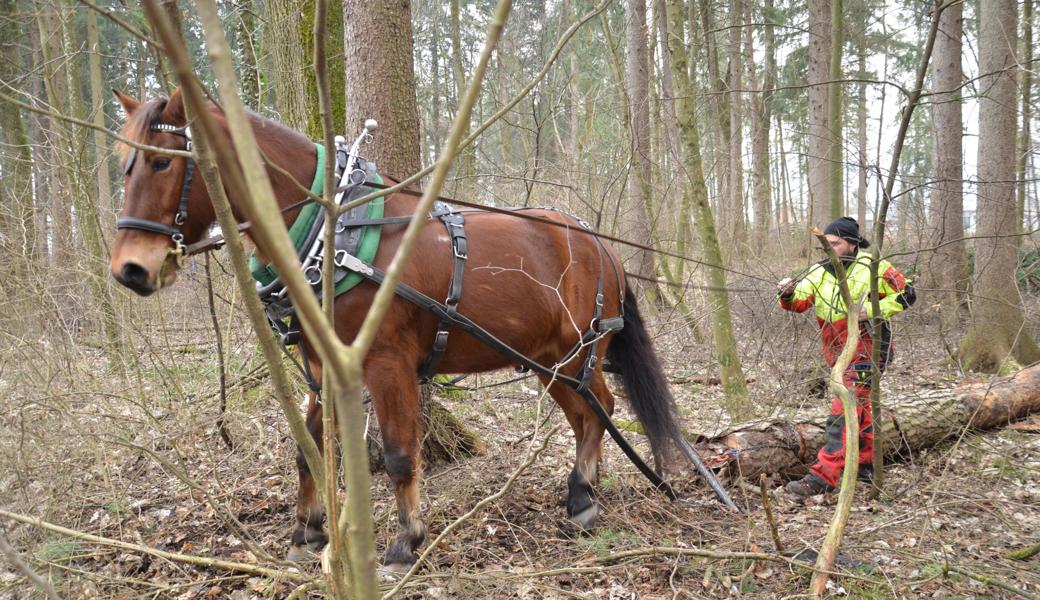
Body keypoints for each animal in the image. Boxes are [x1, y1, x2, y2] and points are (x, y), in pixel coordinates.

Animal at [109, 89, 694, 569]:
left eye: (162, 162)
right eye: (123, 166)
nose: (129, 269)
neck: (337, 233)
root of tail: (601, 245)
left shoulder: (387, 363)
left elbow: (398, 455)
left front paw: (404, 543)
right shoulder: (325, 364)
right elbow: (309, 449)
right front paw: (308, 533)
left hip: (577, 353)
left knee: (602, 408)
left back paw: (581, 499)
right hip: (547, 361)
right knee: (586, 415)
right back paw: (582, 494)